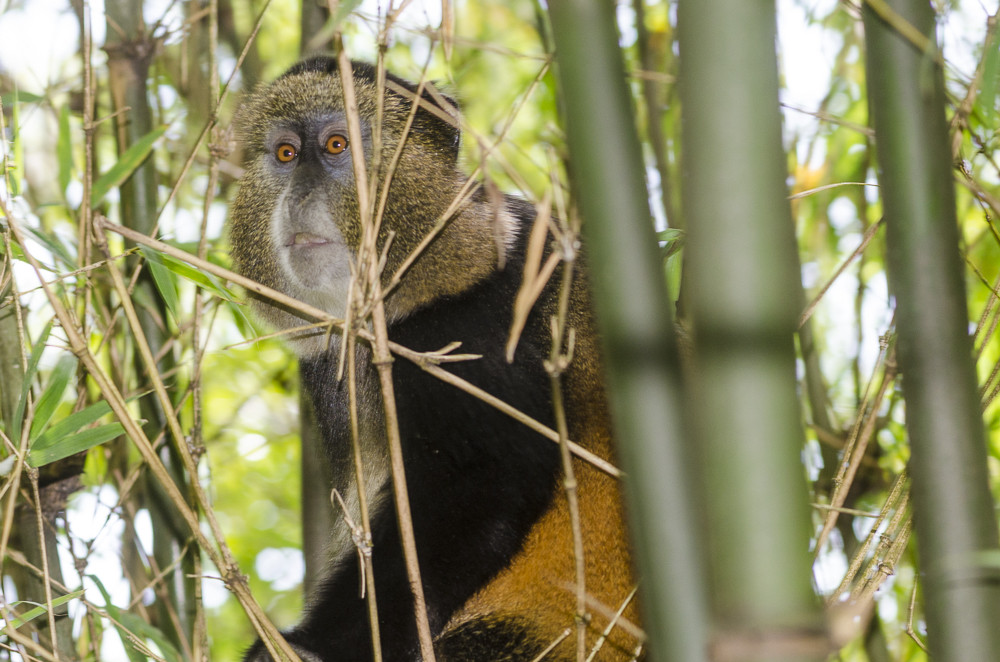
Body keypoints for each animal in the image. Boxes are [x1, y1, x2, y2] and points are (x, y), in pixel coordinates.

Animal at [230, 57, 641, 661]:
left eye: (336, 145)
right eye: (285, 153)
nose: (299, 194)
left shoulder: (465, 334)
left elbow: (478, 490)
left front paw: (311, 645)